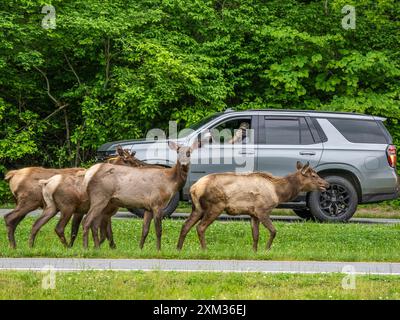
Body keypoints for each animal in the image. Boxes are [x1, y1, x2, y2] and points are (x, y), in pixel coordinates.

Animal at [3, 146, 137, 249]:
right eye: (128, 160)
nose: (139, 167)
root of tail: (11, 175)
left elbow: (107, 232)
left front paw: (111, 247)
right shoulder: (85, 209)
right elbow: (77, 230)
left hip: (33, 204)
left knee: (20, 221)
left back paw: (20, 246)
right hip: (32, 202)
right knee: (10, 218)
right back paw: (13, 246)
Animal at [177, 162, 328, 252]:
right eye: (313, 175)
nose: (326, 184)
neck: (278, 192)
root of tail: (193, 188)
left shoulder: (253, 213)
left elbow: (255, 235)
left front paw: (254, 251)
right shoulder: (262, 210)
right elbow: (273, 231)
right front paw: (266, 250)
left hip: (197, 208)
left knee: (185, 225)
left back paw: (178, 248)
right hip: (215, 206)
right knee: (200, 227)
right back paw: (205, 249)